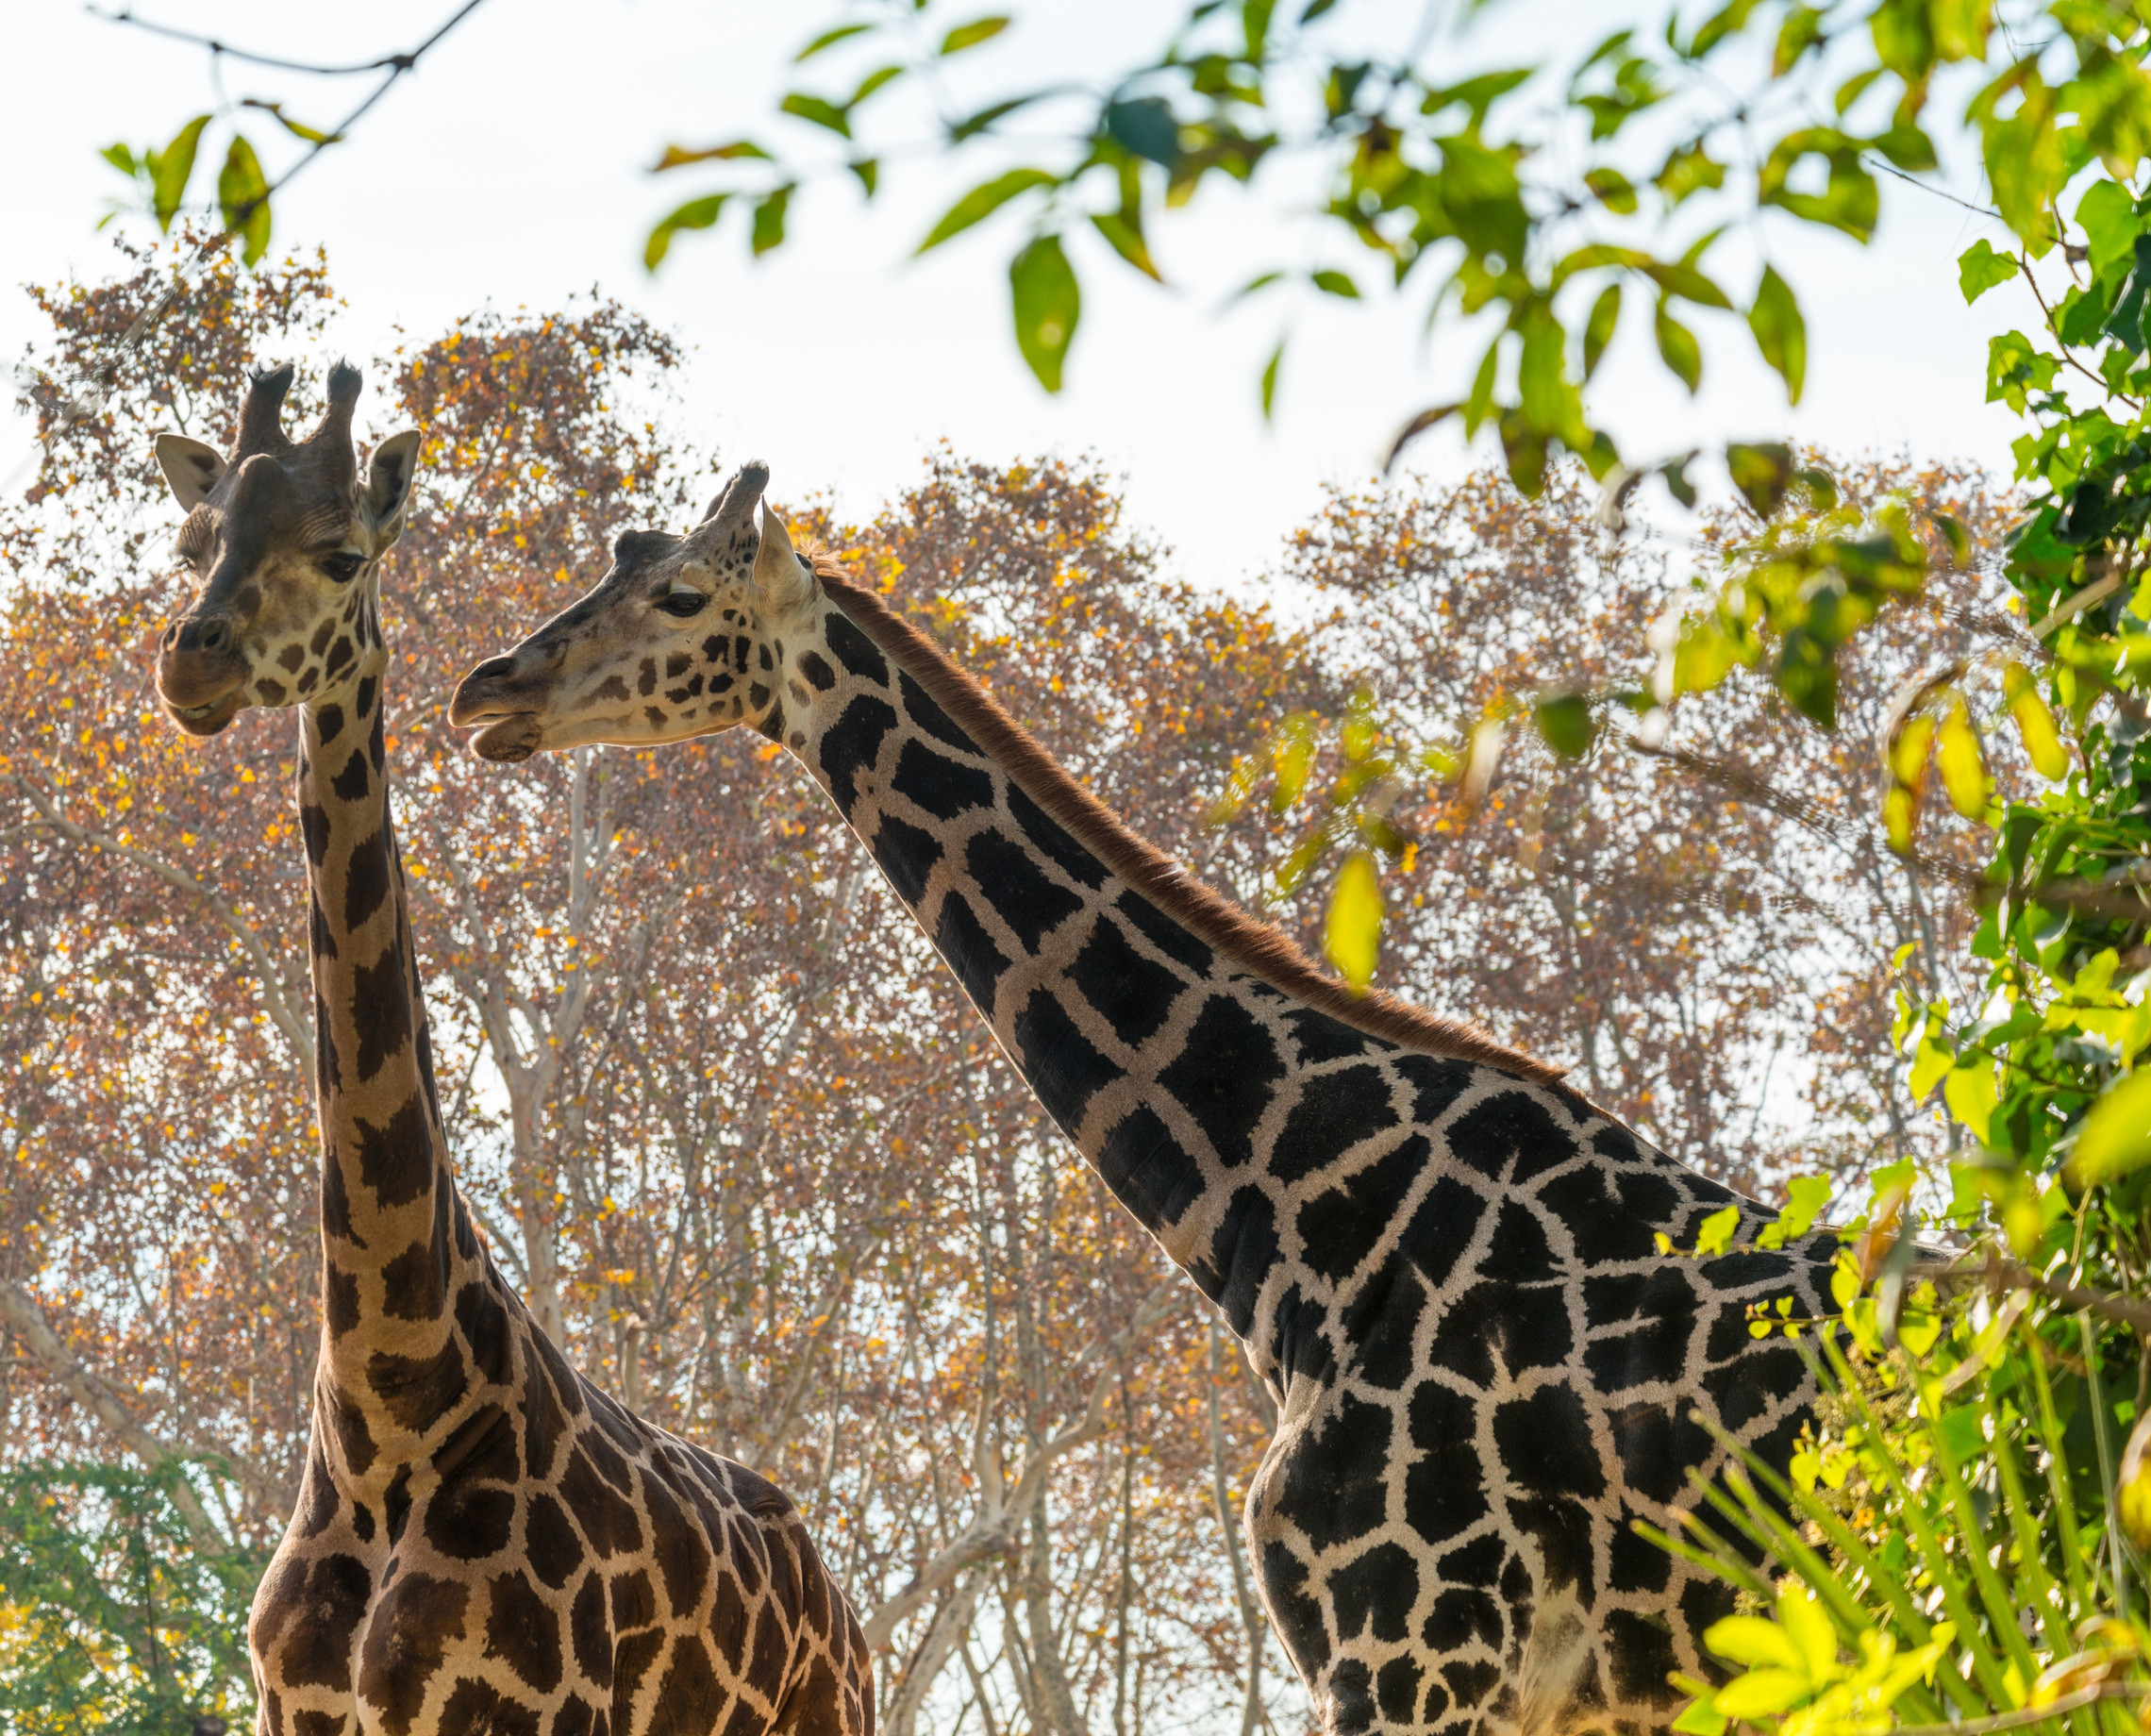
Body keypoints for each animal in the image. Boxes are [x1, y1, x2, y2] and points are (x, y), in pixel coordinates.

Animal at [144, 376, 873, 1736]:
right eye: (193, 541)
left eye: (343, 553)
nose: (192, 659)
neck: (389, 1400)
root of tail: (837, 1604)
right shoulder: (284, 1706)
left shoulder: (524, 1714)